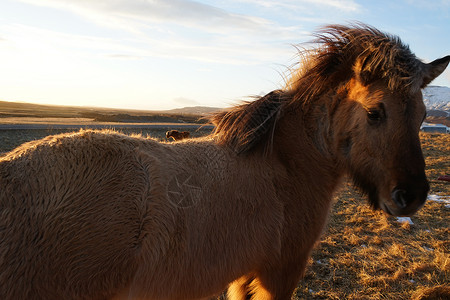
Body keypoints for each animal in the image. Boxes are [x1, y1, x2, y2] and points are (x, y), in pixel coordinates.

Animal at [0, 24, 448, 300]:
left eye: (424, 116)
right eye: (375, 112)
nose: (411, 196)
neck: (286, 164)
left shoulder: (245, 274)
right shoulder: (278, 272)